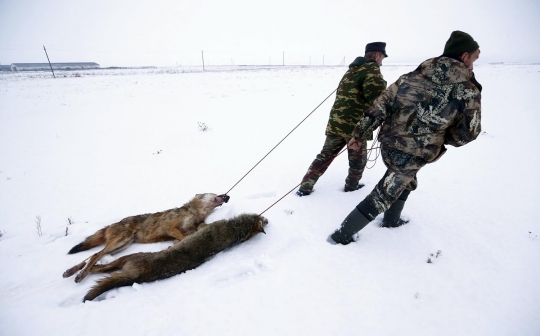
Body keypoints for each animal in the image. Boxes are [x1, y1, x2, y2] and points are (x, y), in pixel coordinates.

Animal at [62, 193, 229, 282]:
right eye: (214, 193)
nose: (227, 196)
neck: (195, 213)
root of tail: (111, 225)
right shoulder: (171, 228)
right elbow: (181, 237)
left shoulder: (188, 230)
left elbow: (183, 238)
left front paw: (172, 246)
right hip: (120, 241)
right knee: (95, 255)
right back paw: (79, 275)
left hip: (121, 245)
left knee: (92, 256)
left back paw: (71, 272)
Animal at [83, 214, 266, 304]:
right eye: (264, 220)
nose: (268, 219)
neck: (236, 231)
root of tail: (137, 278)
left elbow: (200, 226)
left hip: (127, 258)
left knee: (102, 268)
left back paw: (92, 269)